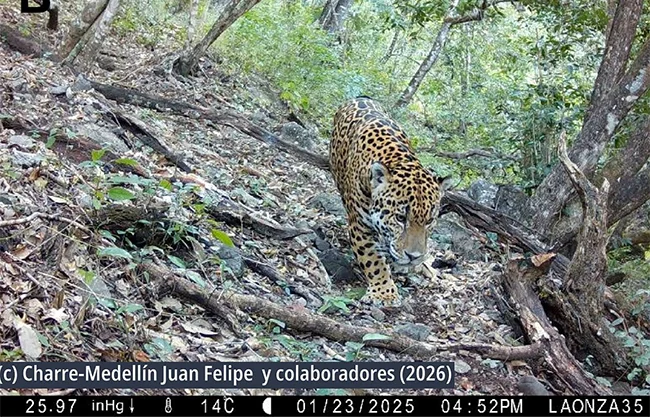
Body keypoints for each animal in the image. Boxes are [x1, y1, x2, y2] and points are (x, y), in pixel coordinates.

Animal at [329, 96, 450, 307]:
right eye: (400, 218)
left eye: (429, 221)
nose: (413, 257)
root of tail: (360, 97)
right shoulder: (359, 225)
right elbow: (373, 260)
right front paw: (384, 293)